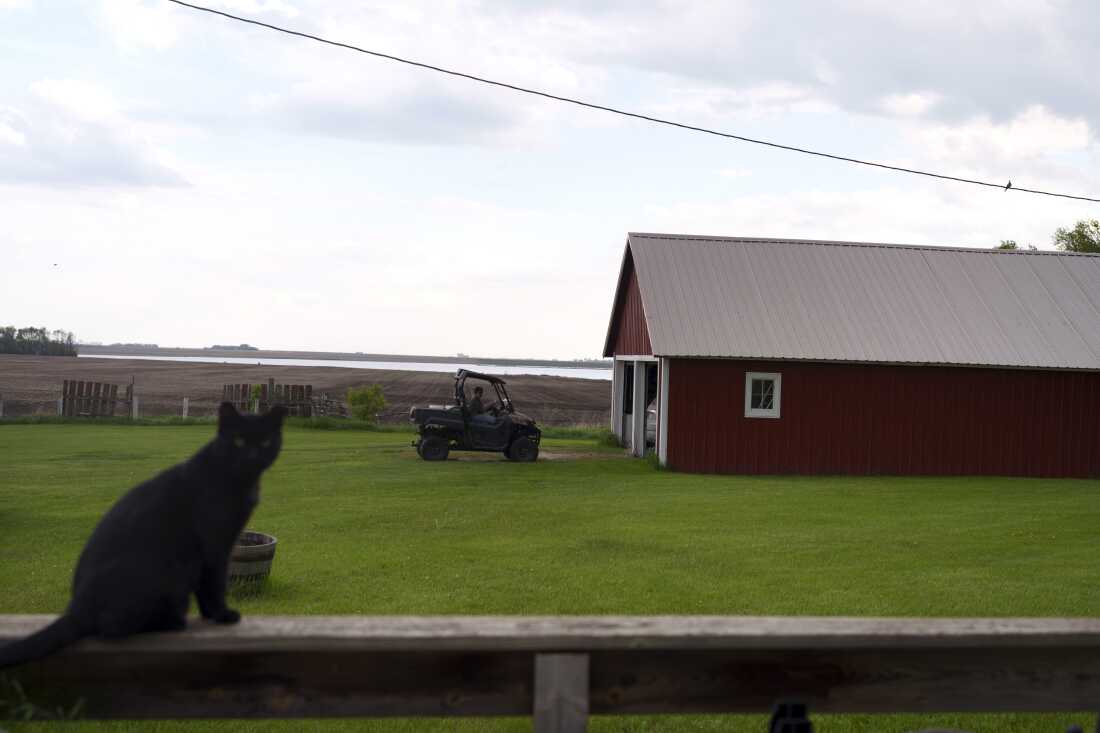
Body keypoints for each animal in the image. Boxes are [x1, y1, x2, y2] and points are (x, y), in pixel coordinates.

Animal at [0, 402, 288, 664]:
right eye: (239, 440)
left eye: (265, 441)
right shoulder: (214, 546)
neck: (240, 480)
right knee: (110, 627)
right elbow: (214, 584)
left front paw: (211, 616)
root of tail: (76, 609)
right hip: (168, 571)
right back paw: (173, 623)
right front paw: (223, 615)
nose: (252, 455)